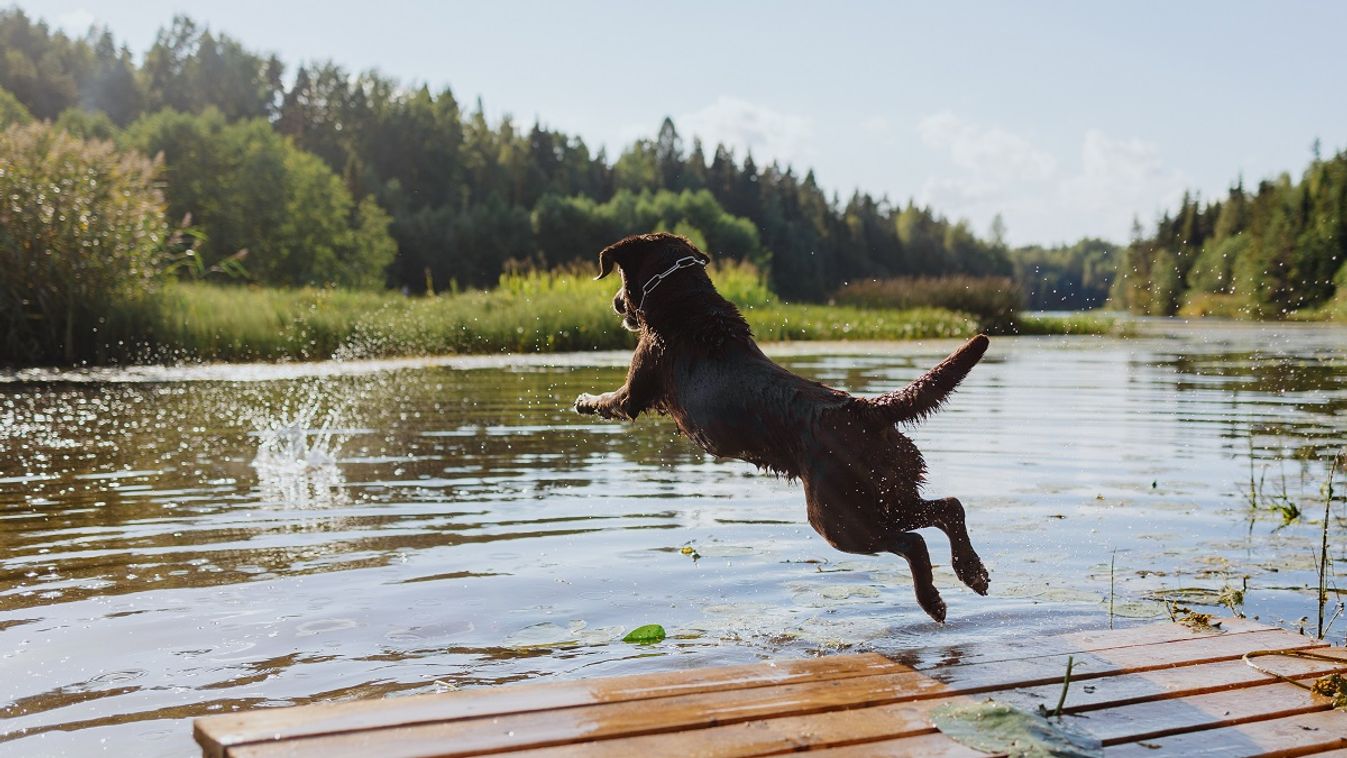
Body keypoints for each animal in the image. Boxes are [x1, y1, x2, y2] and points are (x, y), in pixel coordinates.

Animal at [571, 232, 991, 622]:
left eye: (619, 279)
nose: (615, 303)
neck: (684, 298)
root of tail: (867, 409)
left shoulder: (637, 386)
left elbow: (611, 400)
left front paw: (583, 400)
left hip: (838, 516)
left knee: (913, 541)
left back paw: (933, 600)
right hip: (884, 491)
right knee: (949, 508)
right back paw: (972, 571)